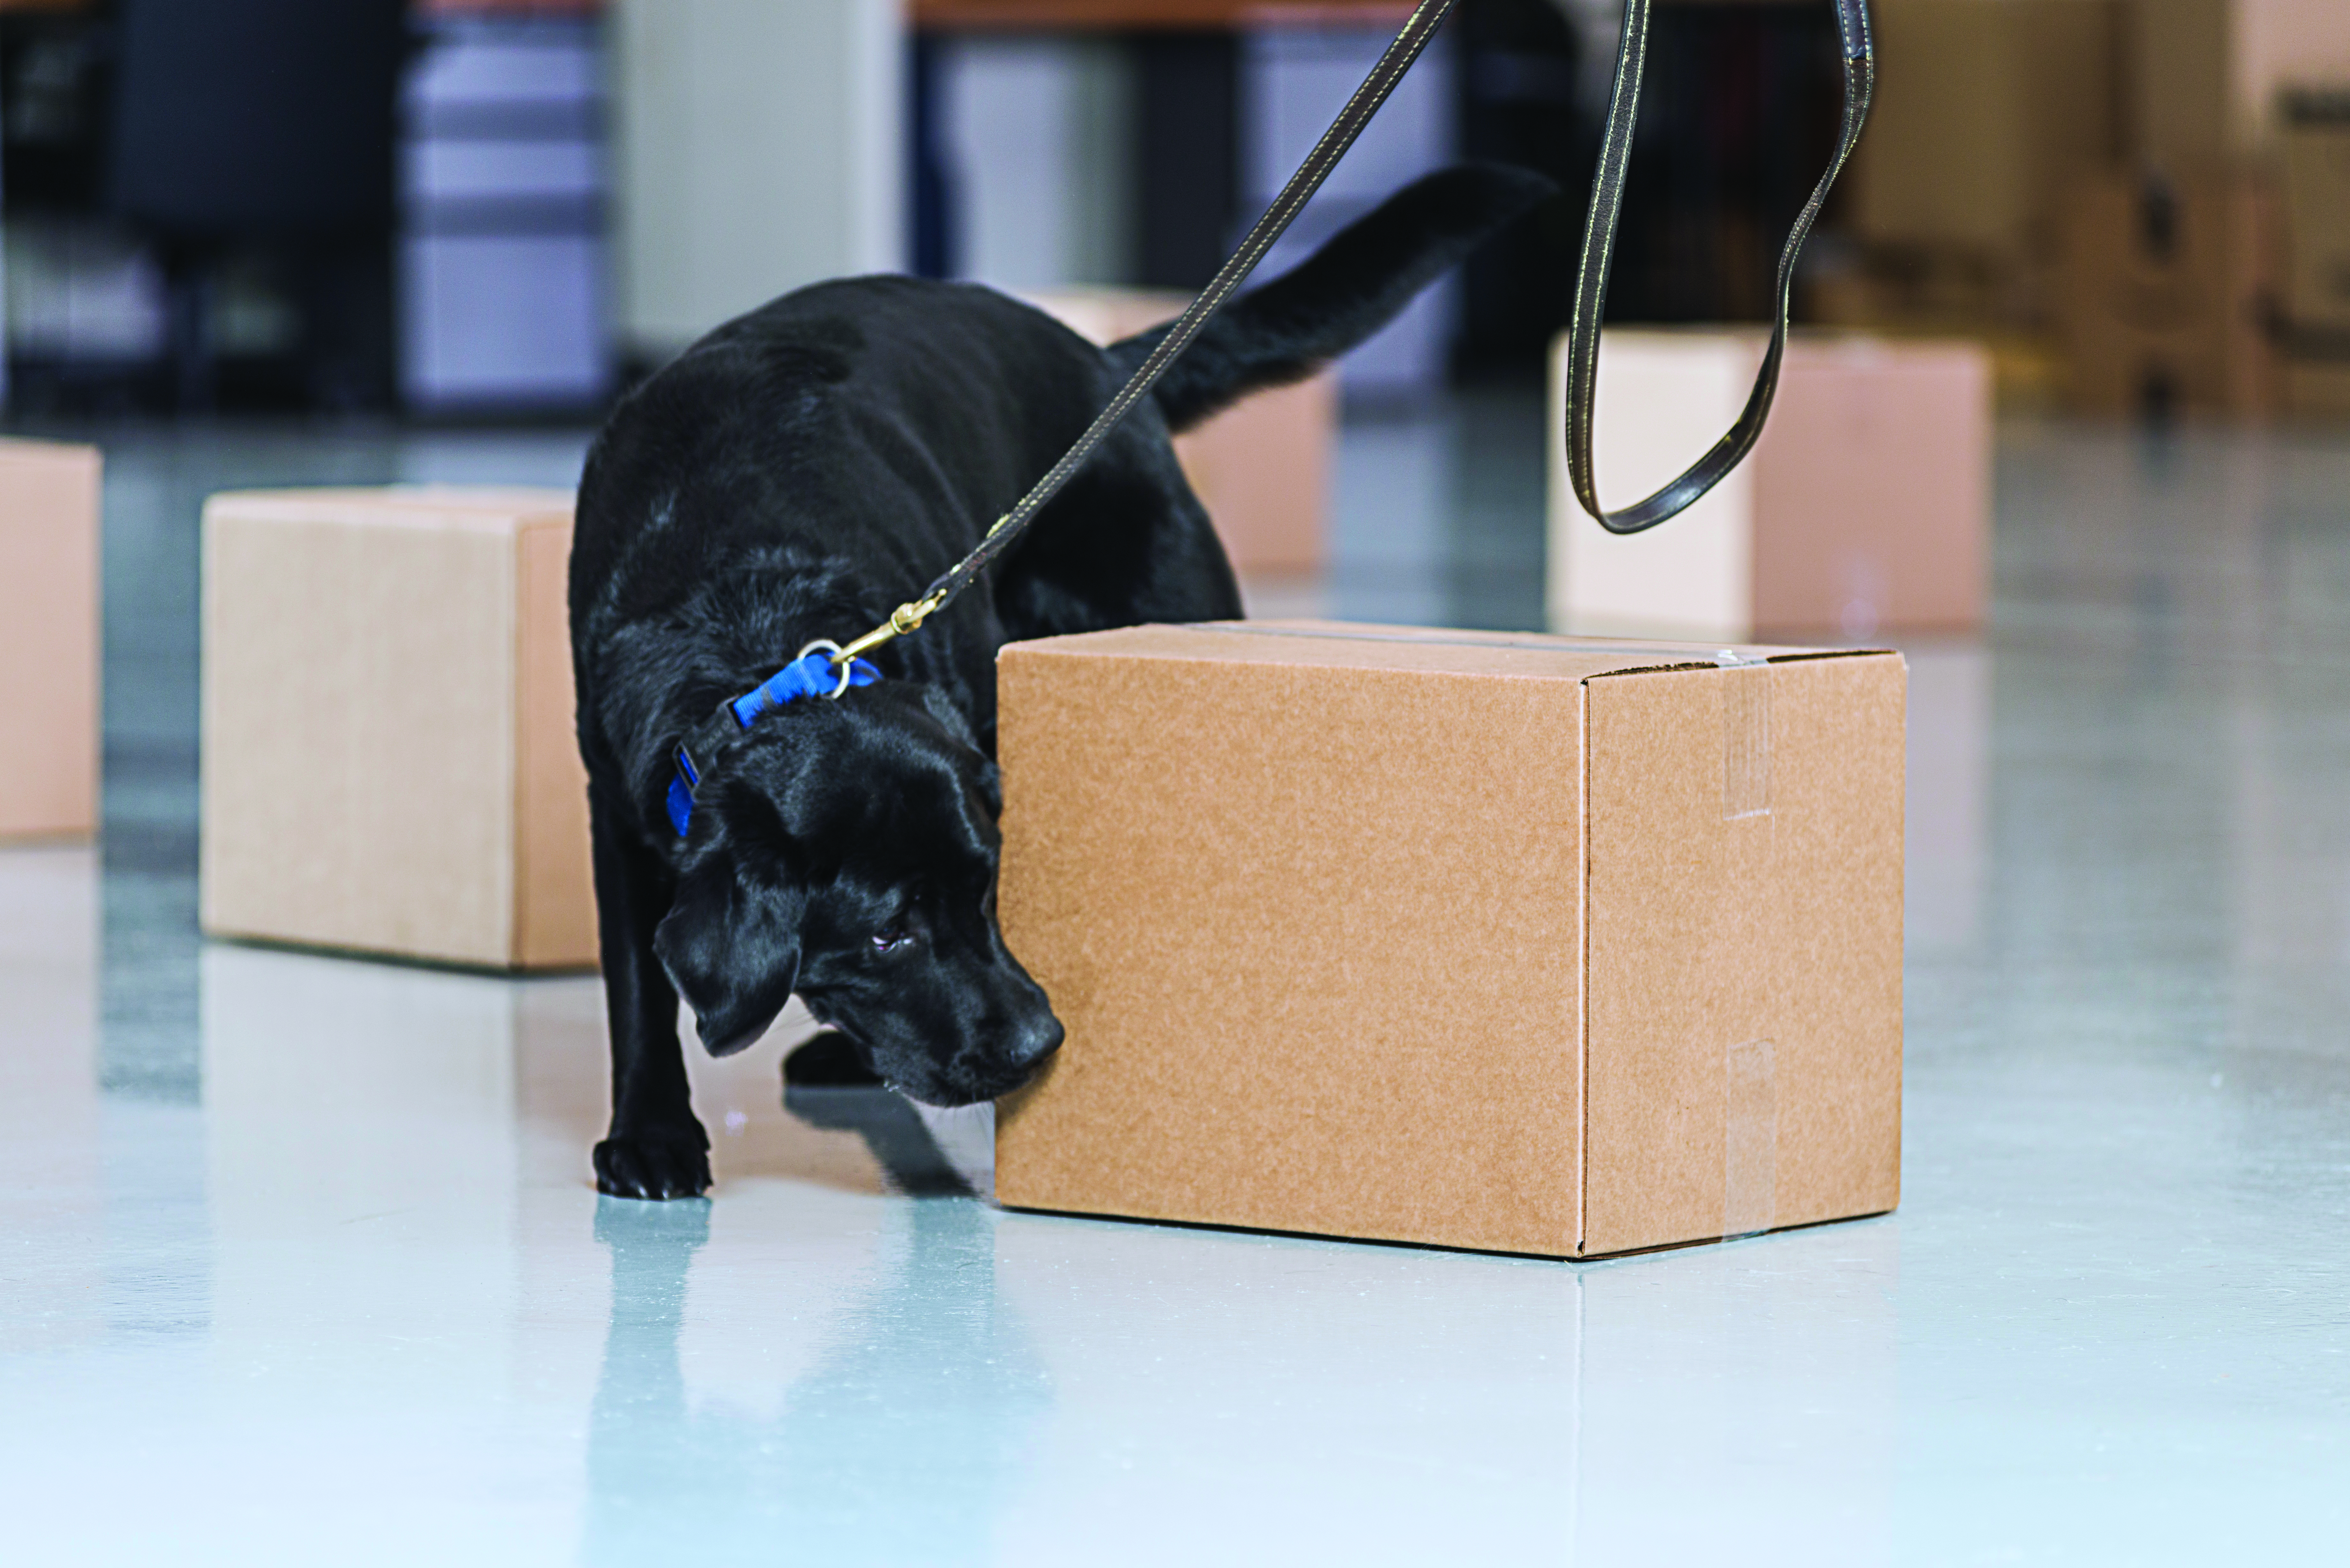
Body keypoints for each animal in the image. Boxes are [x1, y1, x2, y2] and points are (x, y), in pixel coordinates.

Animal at [571, 166, 1560, 1194]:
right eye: (887, 935)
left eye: (988, 890)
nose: (1036, 1045)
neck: (751, 615)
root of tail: (1104, 360)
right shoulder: (619, 804)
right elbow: (636, 985)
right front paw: (652, 1131)